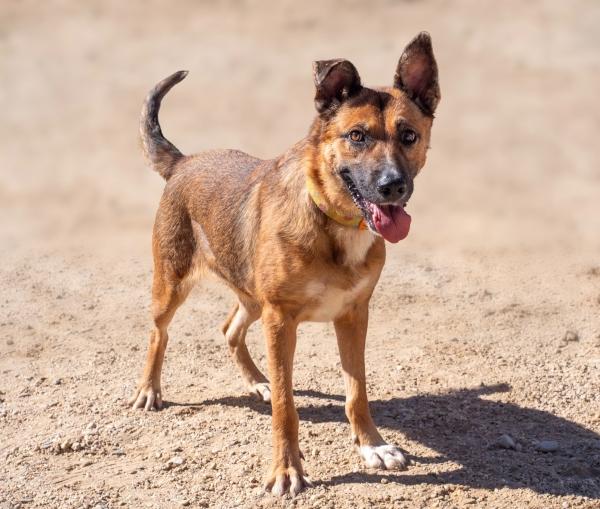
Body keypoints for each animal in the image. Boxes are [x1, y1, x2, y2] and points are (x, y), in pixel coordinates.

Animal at [129, 32, 440, 496]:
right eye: (357, 136)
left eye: (408, 135)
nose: (393, 186)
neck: (332, 220)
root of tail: (184, 162)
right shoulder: (280, 321)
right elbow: (286, 405)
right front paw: (286, 469)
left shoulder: (353, 315)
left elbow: (357, 392)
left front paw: (373, 446)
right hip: (172, 284)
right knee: (158, 333)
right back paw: (150, 389)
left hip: (250, 292)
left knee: (229, 328)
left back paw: (256, 381)